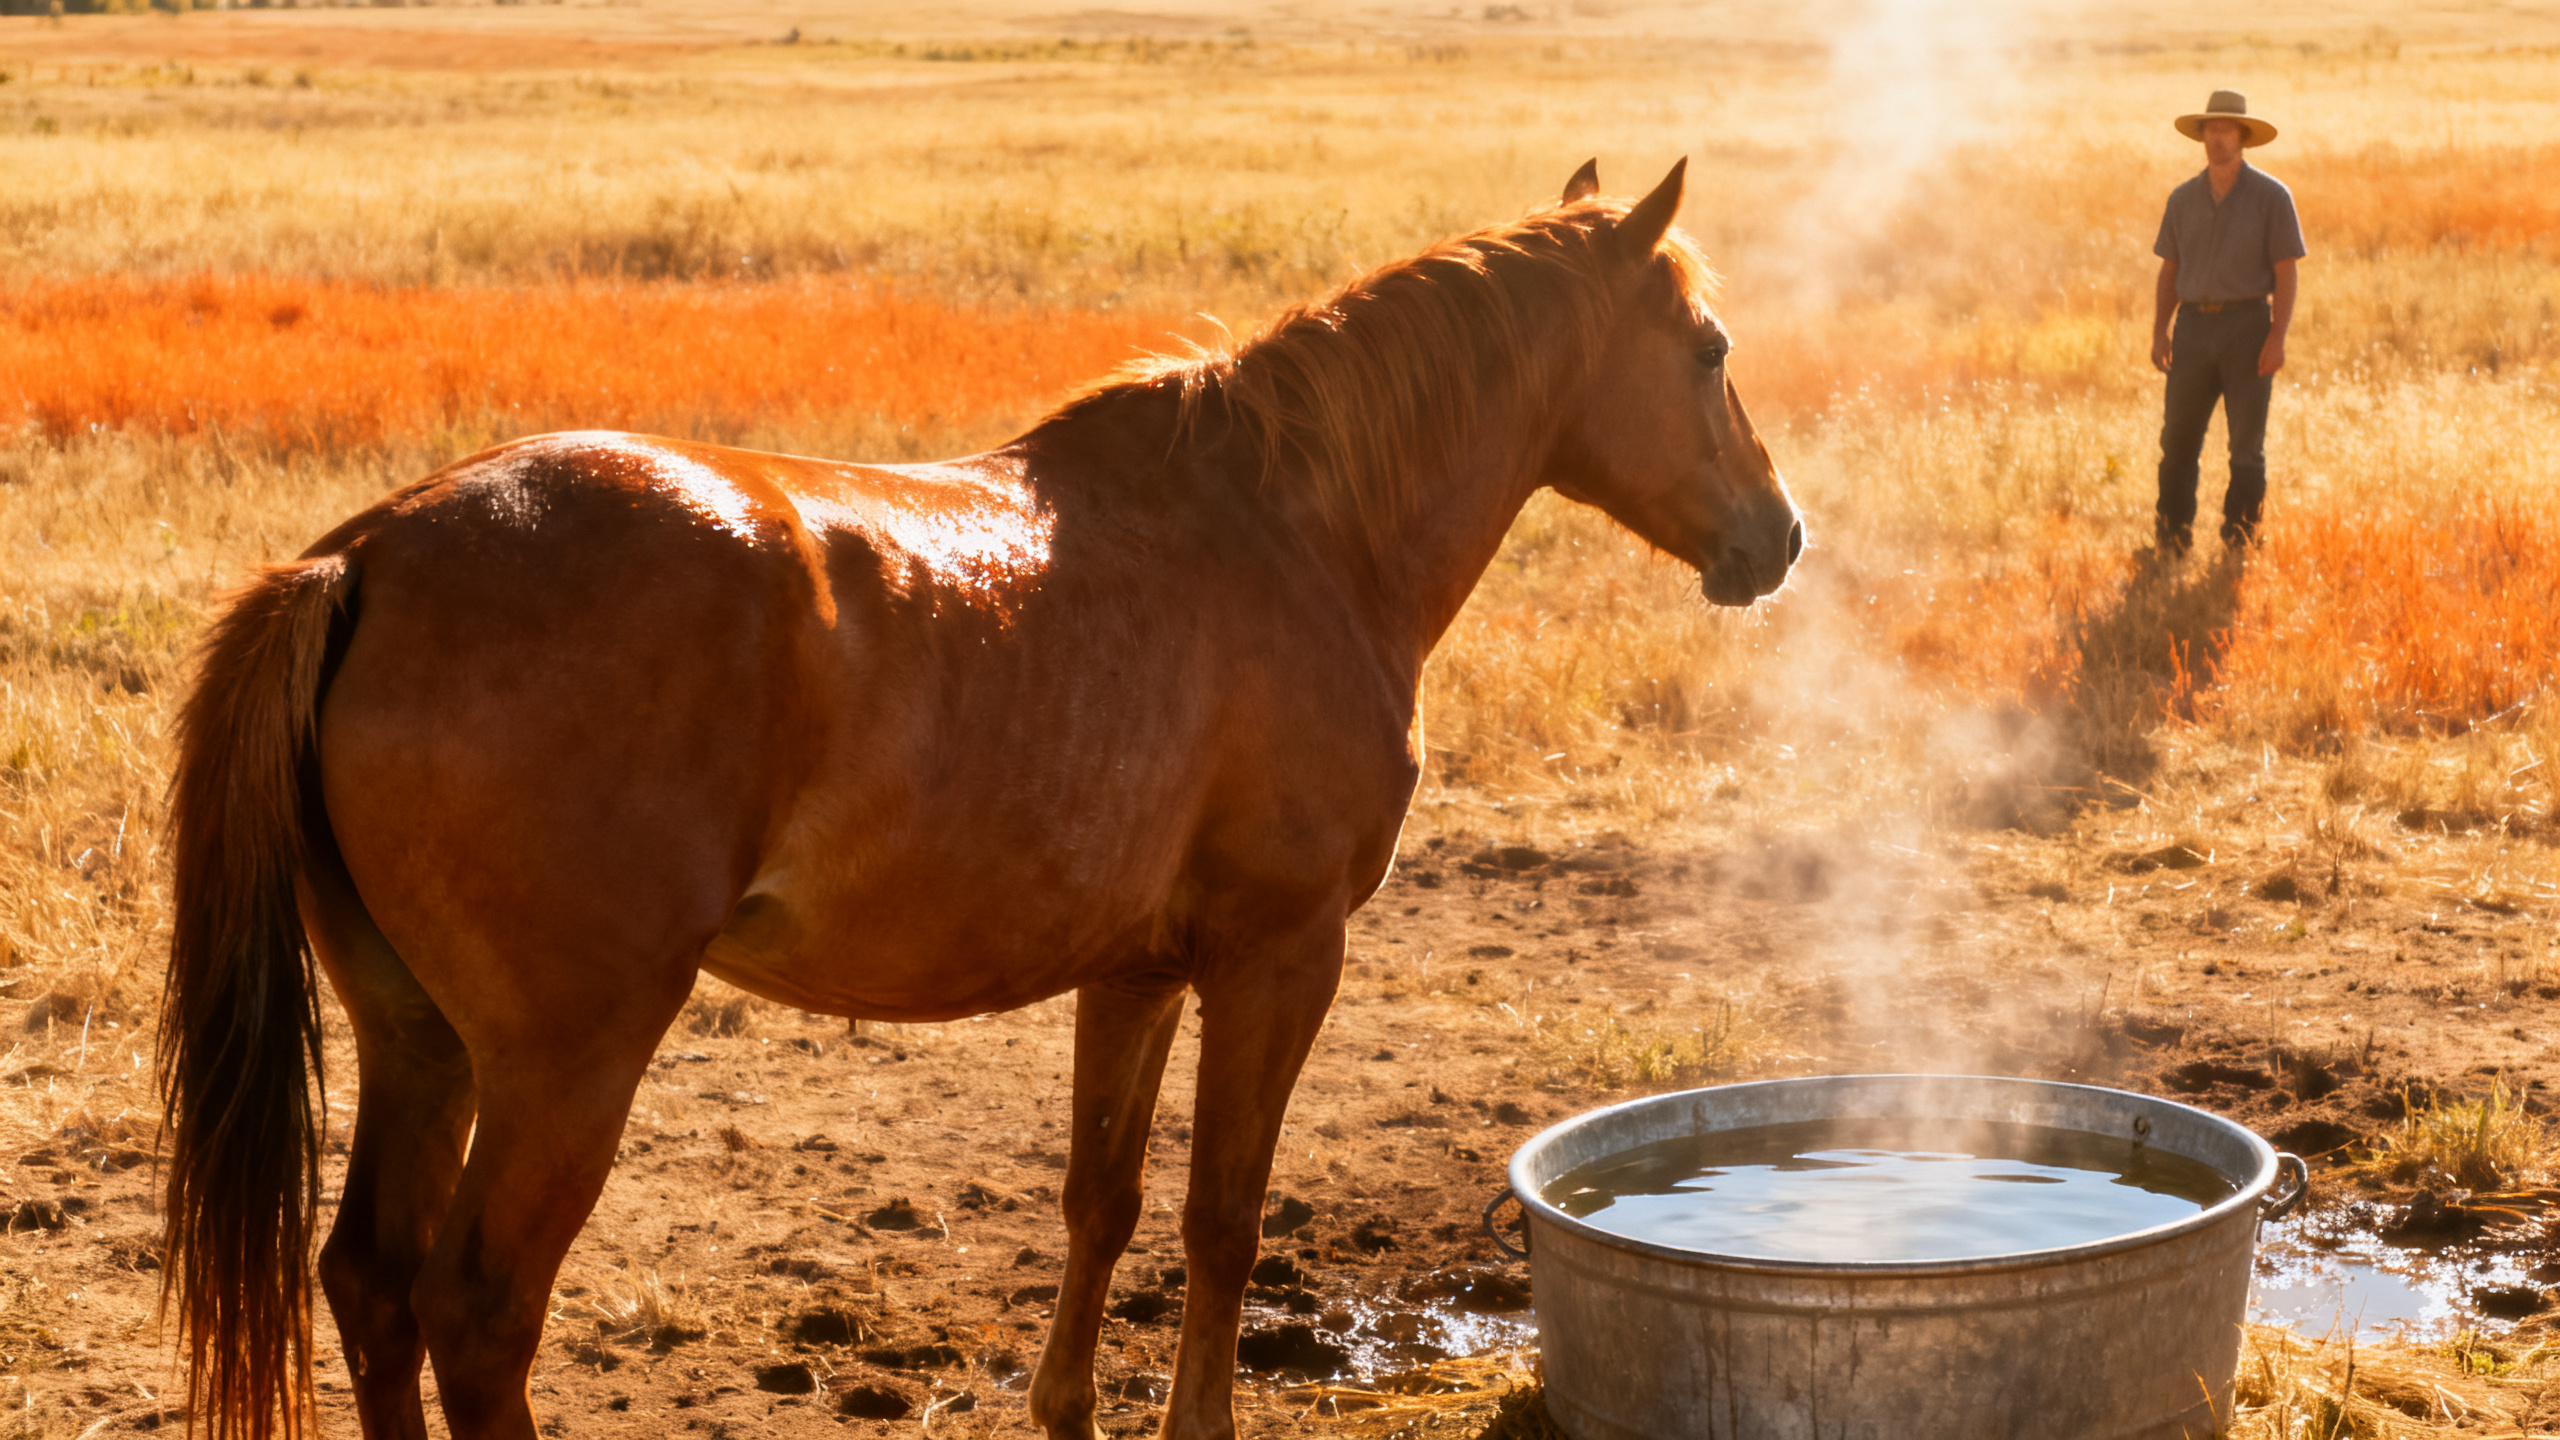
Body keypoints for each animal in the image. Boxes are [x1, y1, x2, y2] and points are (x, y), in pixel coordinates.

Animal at [157, 157, 1800, 1440]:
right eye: (1710, 347)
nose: (1778, 537)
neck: (1298, 531)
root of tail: (369, 555)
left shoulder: (1135, 973)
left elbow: (1103, 1200)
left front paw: (1068, 1408)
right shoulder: (1279, 958)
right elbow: (1222, 1217)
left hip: (416, 1039)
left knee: (372, 1286)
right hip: (565, 1059)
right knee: (480, 1310)